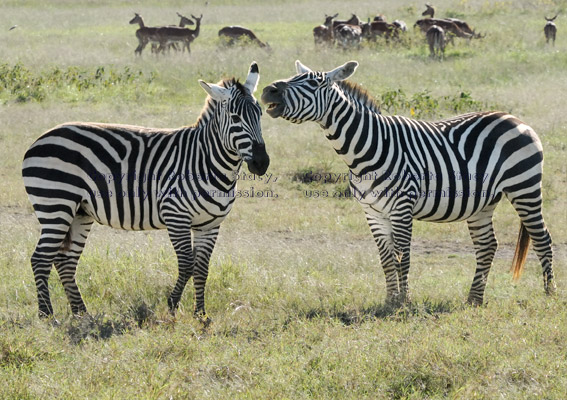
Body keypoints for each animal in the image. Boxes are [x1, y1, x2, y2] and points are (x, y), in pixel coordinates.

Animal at [22, 61, 270, 322]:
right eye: (235, 118)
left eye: (260, 114)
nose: (262, 163)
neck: (206, 161)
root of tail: (40, 138)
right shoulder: (176, 216)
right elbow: (187, 265)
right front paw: (172, 306)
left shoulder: (210, 224)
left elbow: (202, 268)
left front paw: (201, 314)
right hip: (56, 205)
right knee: (40, 258)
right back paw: (47, 315)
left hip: (80, 212)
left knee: (65, 260)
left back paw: (82, 313)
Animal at [262, 59, 560, 304]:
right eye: (292, 77)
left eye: (313, 83)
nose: (268, 90)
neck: (365, 151)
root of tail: (514, 118)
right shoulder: (372, 212)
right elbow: (386, 259)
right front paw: (390, 300)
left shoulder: (401, 208)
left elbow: (402, 256)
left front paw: (403, 301)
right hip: (483, 203)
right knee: (487, 245)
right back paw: (474, 298)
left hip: (525, 187)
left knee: (542, 237)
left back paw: (549, 294)